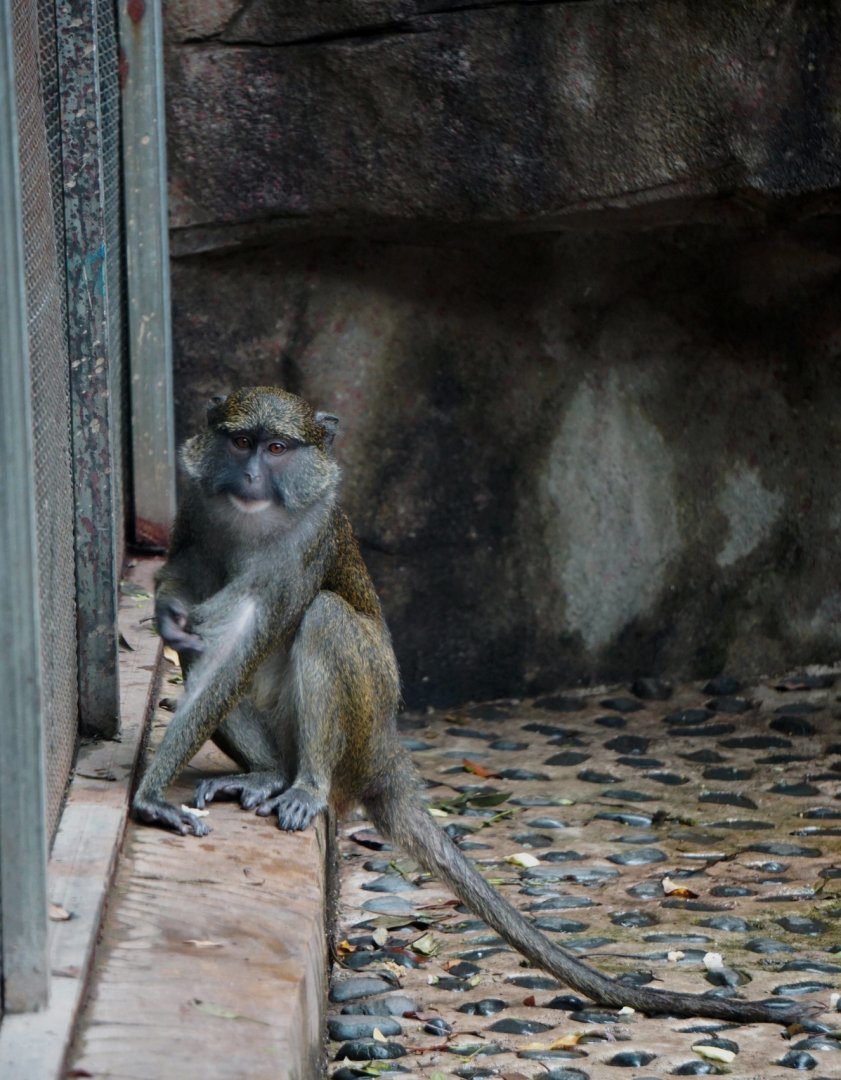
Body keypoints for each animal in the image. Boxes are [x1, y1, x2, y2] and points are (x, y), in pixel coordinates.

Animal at [132, 386, 803, 1026]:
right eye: (240, 442)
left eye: (277, 449)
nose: (249, 477)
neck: (253, 523)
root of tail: (387, 755)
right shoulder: (198, 503)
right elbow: (188, 591)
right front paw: (168, 615)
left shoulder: (306, 542)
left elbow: (245, 634)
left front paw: (148, 794)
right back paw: (267, 771)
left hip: (362, 729)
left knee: (325, 617)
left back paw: (305, 785)